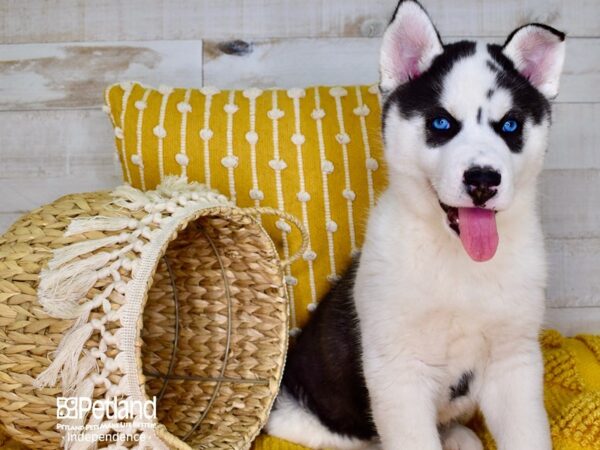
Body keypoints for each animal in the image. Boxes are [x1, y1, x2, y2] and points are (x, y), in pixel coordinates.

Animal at [268, 0, 568, 450]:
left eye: (510, 125)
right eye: (442, 123)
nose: (483, 180)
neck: (460, 263)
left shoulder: (515, 361)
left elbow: (528, 436)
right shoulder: (399, 374)